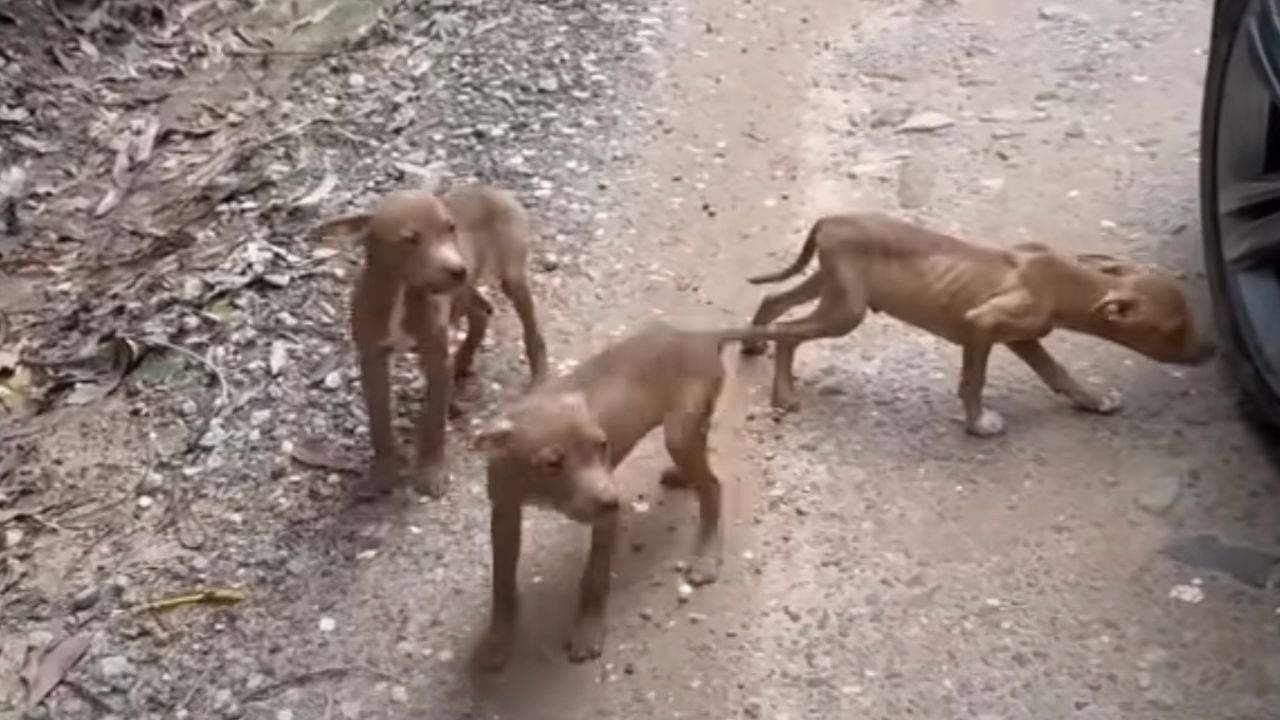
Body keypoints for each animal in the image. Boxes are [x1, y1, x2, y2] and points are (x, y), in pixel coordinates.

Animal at [317, 185, 547, 499]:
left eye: (450, 228)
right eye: (410, 239)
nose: (458, 269)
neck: (402, 293)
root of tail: (491, 189)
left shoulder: (435, 358)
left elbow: (434, 421)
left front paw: (431, 471)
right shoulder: (372, 360)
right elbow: (379, 422)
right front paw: (383, 473)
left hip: (509, 275)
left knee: (531, 328)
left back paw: (539, 377)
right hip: (465, 290)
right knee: (483, 311)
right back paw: (462, 361)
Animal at [471, 319, 788, 666]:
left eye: (602, 445)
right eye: (552, 463)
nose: (613, 501)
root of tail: (696, 336)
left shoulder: (605, 517)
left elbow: (595, 576)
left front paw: (587, 630)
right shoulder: (503, 511)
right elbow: (502, 582)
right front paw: (497, 640)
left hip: (678, 432)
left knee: (713, 486)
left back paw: (705, 555)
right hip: (689, 428)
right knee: (702, 464)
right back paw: (682, 477)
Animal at [742, 212, 1208, 435]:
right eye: (1174, 330)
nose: (1213, 349)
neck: (1064, 283)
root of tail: (830, 220)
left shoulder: (1022, 337)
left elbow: (1057, 372)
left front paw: (1091, 400)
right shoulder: (982, 326)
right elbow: (974, 380)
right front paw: (978, 425)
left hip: (832, 286)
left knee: (772, 300)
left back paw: (750, 344)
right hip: (845, 311)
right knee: (788, 332)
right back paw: (783, 395)